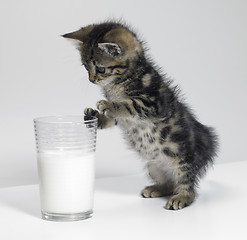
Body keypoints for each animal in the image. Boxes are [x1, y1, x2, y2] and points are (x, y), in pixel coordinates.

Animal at [63, 21, 218, 211]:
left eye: (100, 68)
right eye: (86, 67)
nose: (91, 79)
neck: (121, 79)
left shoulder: (153, 103)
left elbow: (130, 104)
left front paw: (108, 105)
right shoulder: (124, 118)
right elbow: (115, 117)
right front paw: (96, 116)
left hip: (184, 159)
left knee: (187, 184)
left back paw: (181, 197)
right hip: (153, 166)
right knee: (170, 184)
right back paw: (157, 189)